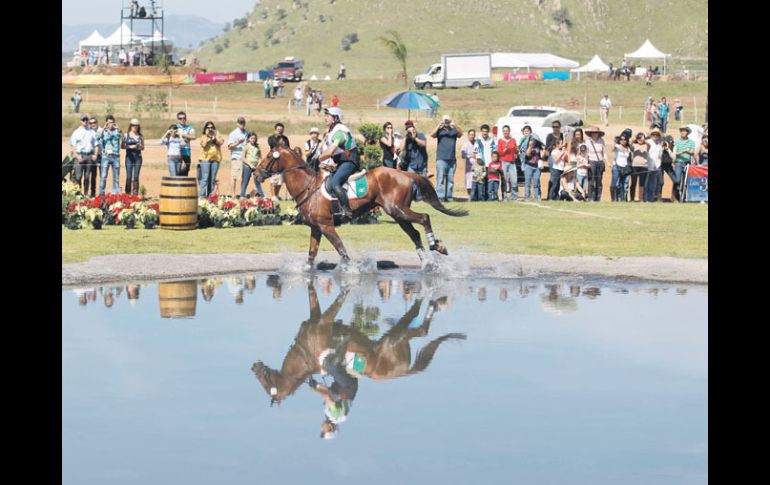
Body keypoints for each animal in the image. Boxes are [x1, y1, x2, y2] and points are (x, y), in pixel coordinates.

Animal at [252, 280, 464, 404]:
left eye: (265, 380)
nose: (254, 366)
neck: (306, 355)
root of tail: (401, 372)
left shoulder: (323, 320)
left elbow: (338, 301)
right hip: (397, 339)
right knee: (419, 328)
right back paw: (431, 301)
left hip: (394, 339)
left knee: (417, 325)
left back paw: (428, 298)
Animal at [254, 147, 468, 268]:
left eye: (268, 156)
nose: (256, 173)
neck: (308, 186)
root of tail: (404, 173)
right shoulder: (316, 228)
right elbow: (311, 255)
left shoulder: (326, 226)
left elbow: (342, 250)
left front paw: (351, 270)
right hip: (398, 214)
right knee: (414, 233)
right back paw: (426, 261)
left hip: (397, 210)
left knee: (424, 218)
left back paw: (437, 245)